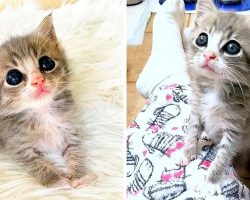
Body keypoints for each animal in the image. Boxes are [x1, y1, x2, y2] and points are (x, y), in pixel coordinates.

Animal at [0, 15, 95, 188]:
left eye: (47, 63)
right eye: (13, 77)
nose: (38, 79)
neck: (42, 111)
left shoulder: (68, 130)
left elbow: (75, 152)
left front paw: (80, 176)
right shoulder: (18, 147)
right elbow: (37, 166)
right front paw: (58, 180)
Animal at [176, 0, 250, 195]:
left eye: (232, 47)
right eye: (202, 39)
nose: (209, 55)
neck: (215, 88)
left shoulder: (235, 130)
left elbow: (223, 156)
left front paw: (210, 181)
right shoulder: (198, 110)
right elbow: (192, 131)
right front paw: (187, 152)